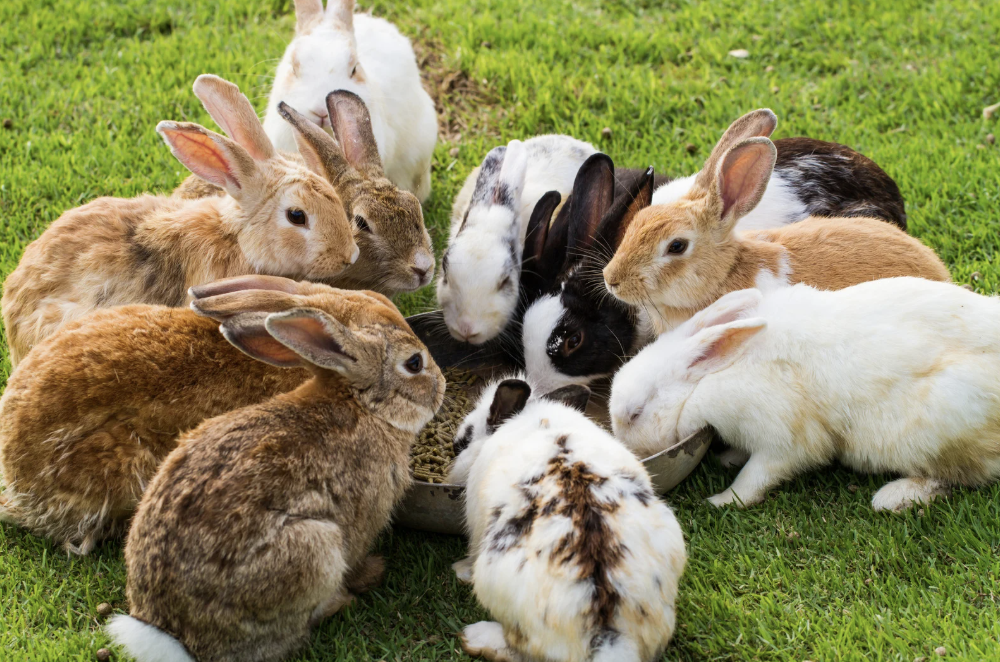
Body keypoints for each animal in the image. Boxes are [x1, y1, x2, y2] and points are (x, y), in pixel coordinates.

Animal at [106, 283, 445, 662]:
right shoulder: (364, 518)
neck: (364, 406)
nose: (443, 384)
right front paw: (369, 572)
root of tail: (177, 637)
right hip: (314, 549)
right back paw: (342, 600)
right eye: (414, 363)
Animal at [610, 279, 1000, 511]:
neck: (706, 381)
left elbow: (755, 478)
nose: (628, 451)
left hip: (933, 428)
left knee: (957, 477)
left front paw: (722, 500)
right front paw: (728, 458)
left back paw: (894, 497)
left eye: (635, 413)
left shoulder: (782, 440)